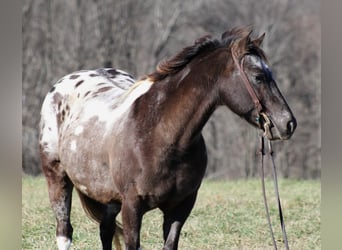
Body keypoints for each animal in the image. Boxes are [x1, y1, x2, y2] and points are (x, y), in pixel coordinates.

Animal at [39, 27, 296, 250]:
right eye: (258, 76)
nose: (288, 123)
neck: (161, 135)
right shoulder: (132, 206)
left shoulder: (180, 207)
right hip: (58, 179)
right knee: (64, 232)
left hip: (109, 197)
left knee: (106, 230)